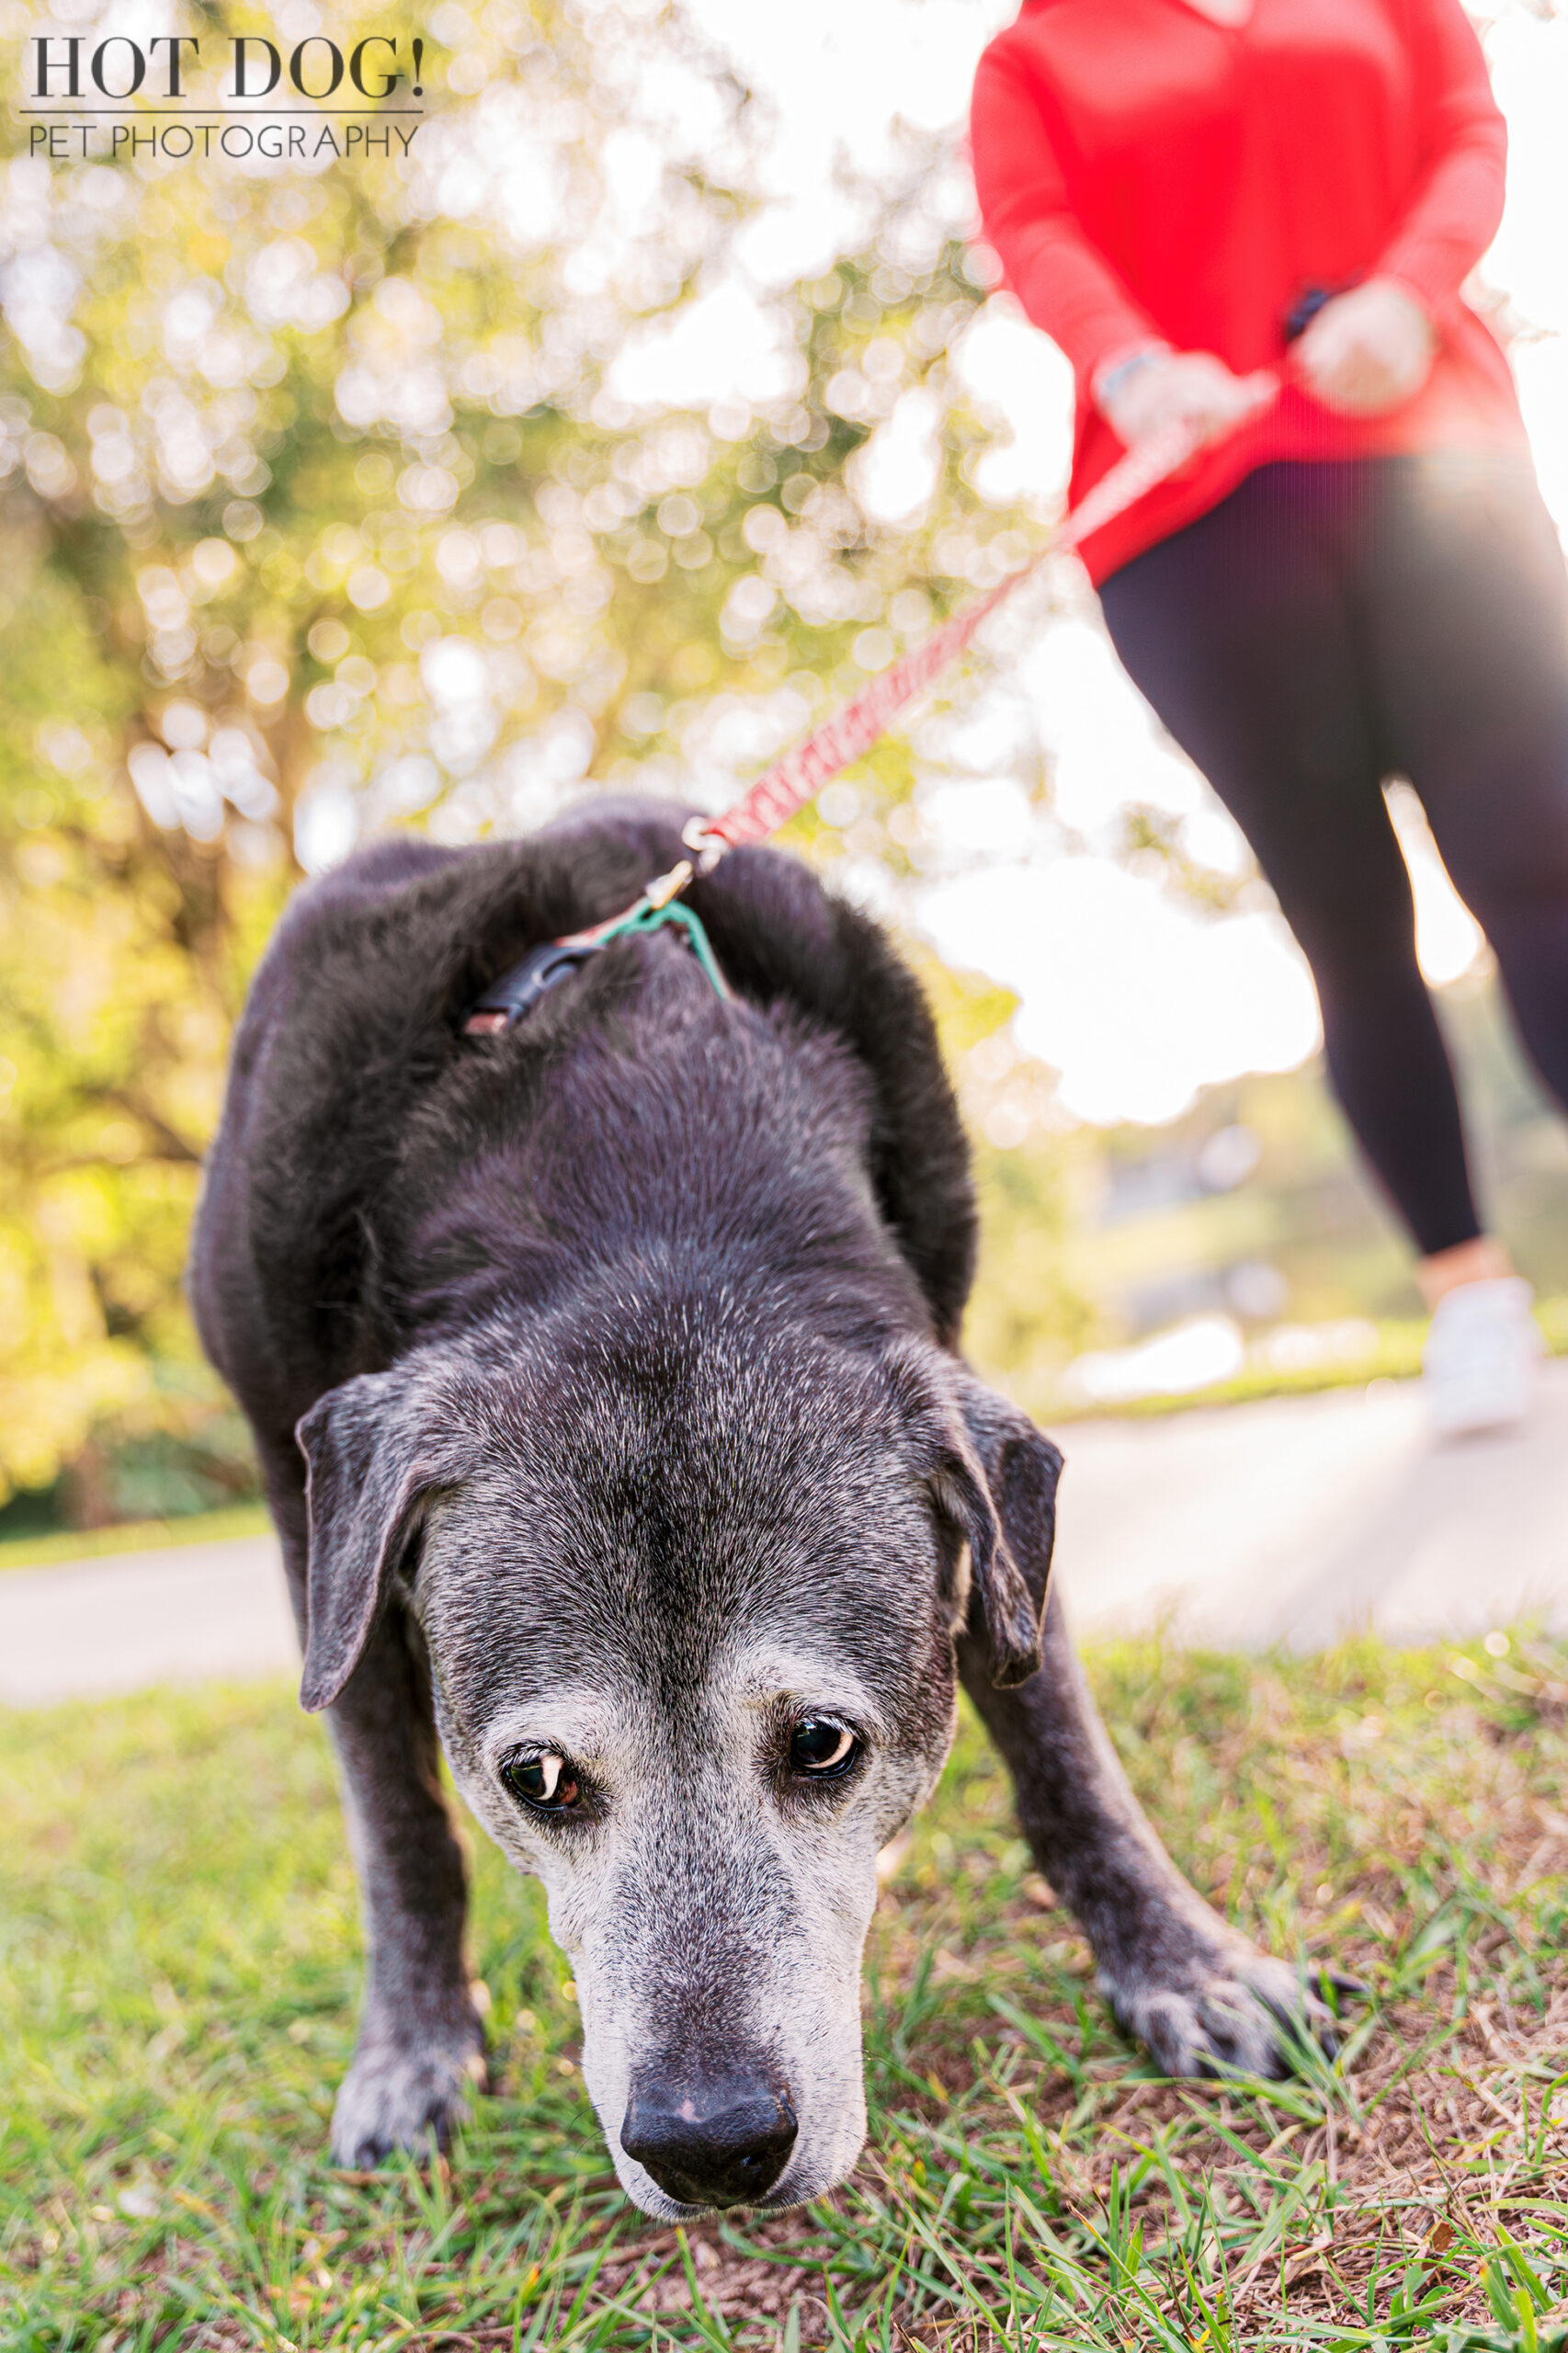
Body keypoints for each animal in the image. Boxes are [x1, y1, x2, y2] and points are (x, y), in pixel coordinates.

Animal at [189, 800, 1327, 2211]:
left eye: (823, 1744)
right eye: (537, 1777)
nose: (709, 2145)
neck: (632, 1167)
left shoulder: (976, 1472)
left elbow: (1052, 1729)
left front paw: (1182, 1963)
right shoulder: (308, 1516)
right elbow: (397, 1823)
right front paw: (413, 2053)